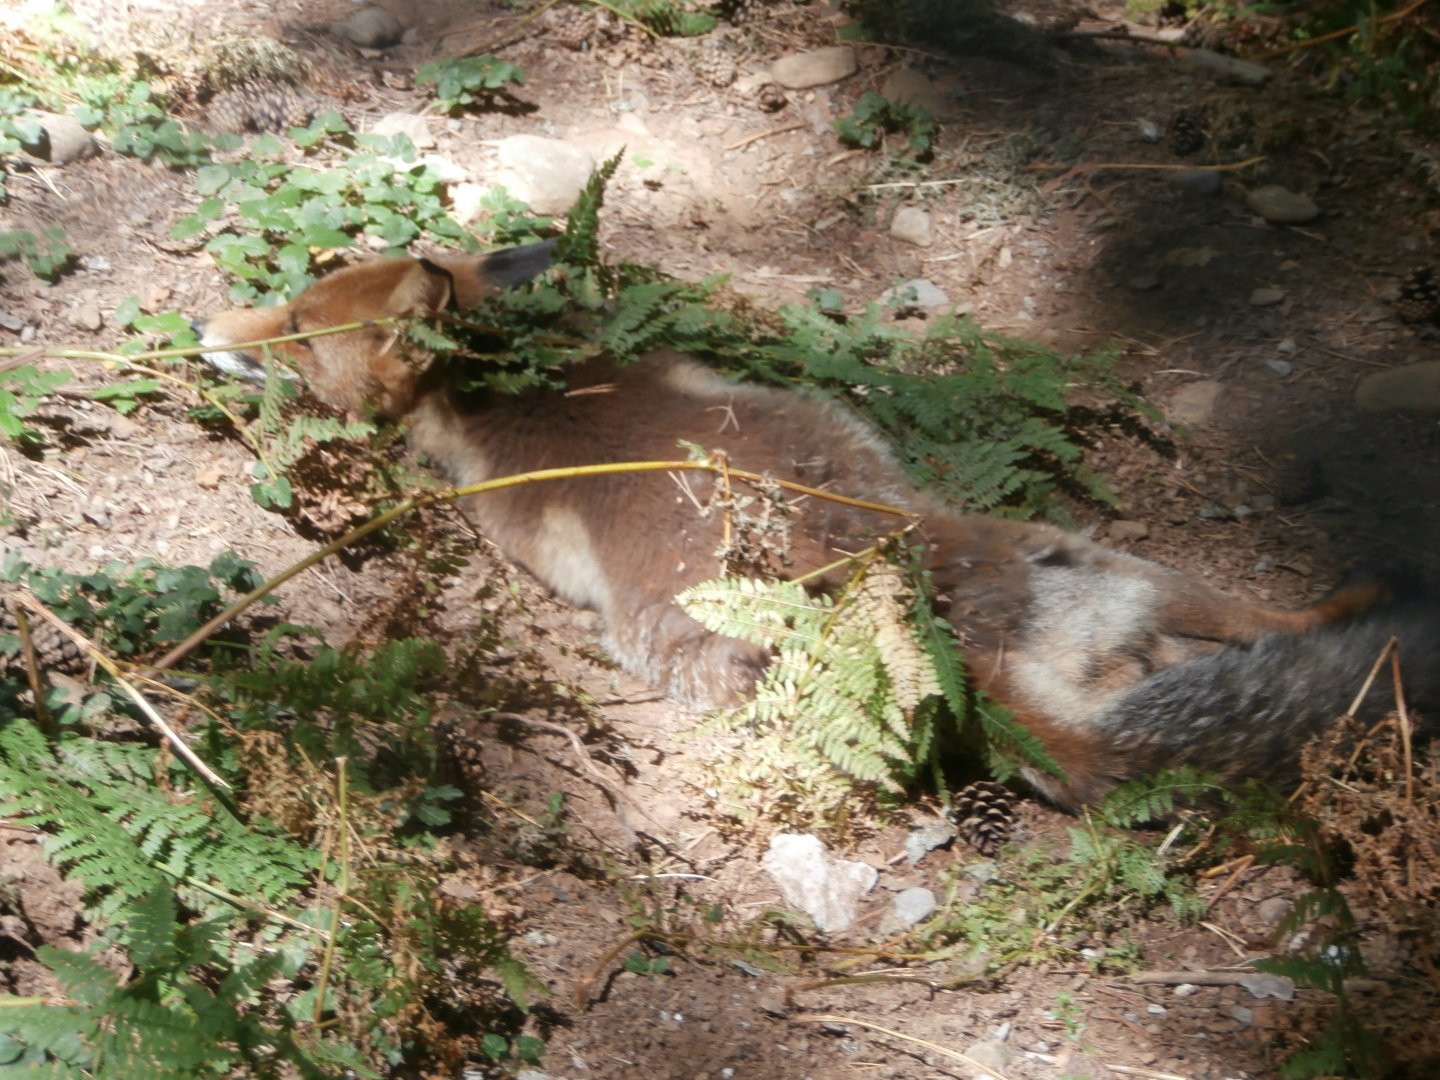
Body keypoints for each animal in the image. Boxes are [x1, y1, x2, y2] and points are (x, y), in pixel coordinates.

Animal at [197, 241, 1438, 809]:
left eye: (298, 328)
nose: (206, 326)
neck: (516, 382)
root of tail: (954, 635)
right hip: (1113, 563)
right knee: (1285, 621)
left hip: (691, 656)